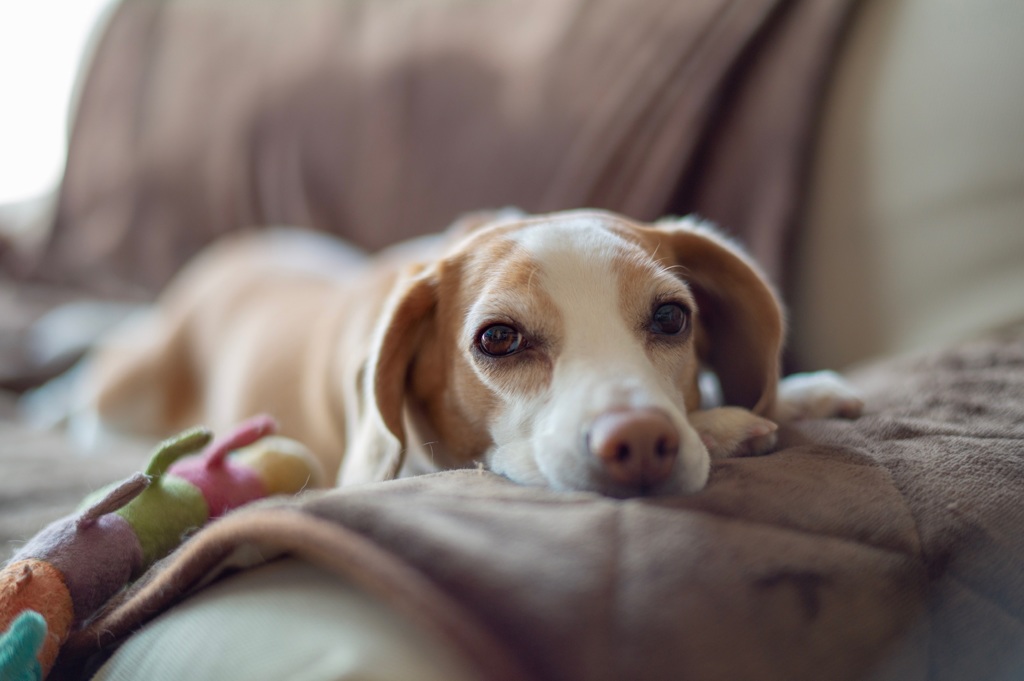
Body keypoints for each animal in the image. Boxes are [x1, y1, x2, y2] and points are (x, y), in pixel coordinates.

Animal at [81, 209, 864, 497]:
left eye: (672, 317)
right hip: (126, 384)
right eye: (499, 338)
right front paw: (727, 424)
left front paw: (806, 390)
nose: (641, 441)